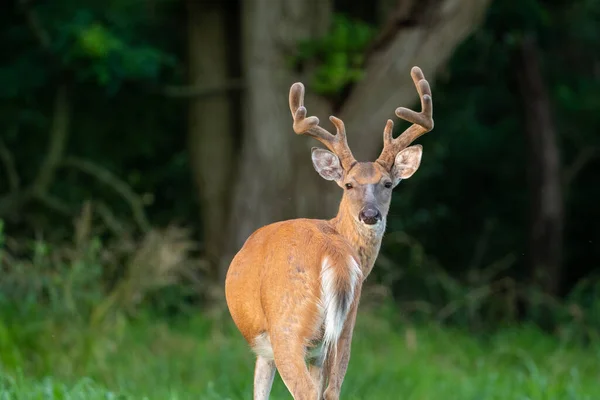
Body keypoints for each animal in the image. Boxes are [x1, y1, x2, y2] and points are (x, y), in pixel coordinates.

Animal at [224, 66, 432, 400]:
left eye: (387, 184)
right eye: (349, 185)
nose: (370, 215)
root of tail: (333, 252)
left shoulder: (266, 349)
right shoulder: (325, 347)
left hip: (288, 328)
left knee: (306, 391)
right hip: (345, 328)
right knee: (332, 390)